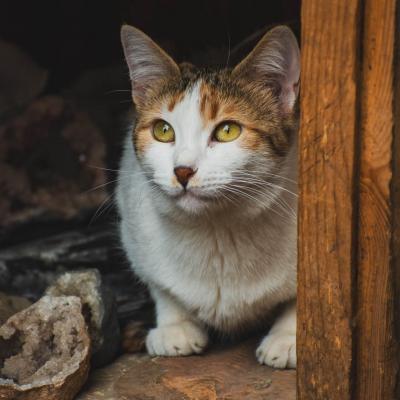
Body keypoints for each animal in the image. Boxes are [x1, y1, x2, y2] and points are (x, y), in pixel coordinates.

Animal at [117, 22, 298, 368]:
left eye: (227, 131)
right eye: (163, 131)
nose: (182, 171)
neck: (218, 231)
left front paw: (288, 337)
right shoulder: (132, 223)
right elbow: (161, 287)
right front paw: (174, 325)